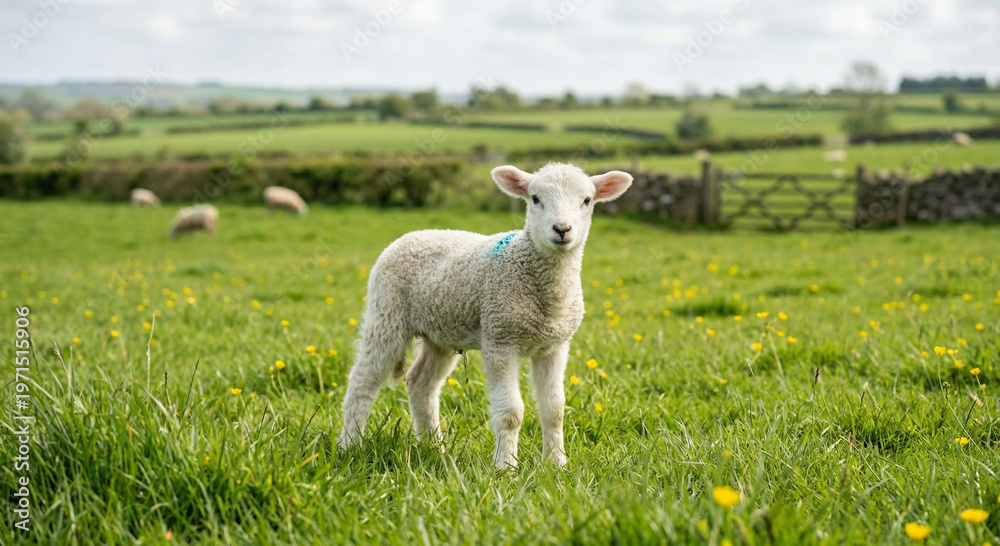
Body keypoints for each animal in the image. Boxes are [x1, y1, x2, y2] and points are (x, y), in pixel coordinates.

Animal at [338, 163, 633, 468]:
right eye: (535, 199)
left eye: (587, 200)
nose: (562, 229)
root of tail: (413, 234)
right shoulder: (500, 339)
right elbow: (511, 412)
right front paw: (506, 468)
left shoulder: (555, 346)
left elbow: (554, 410)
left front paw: (556, 465)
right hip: (387, 313)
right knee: (362, 381)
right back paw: (350, 446)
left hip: (439, 332)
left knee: (420, 383)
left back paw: (433, 448)